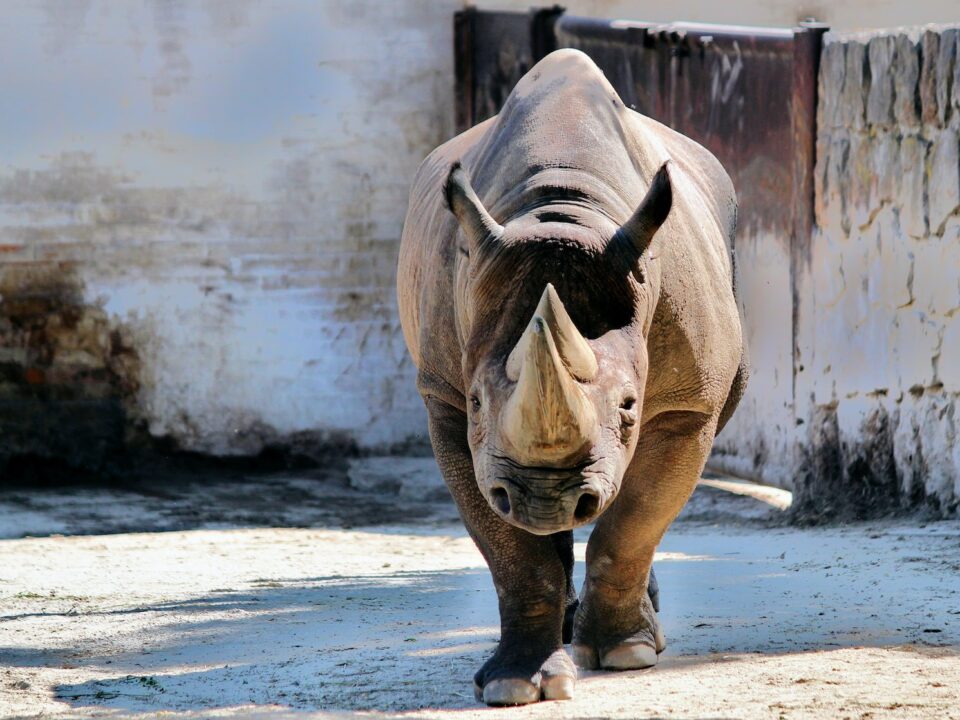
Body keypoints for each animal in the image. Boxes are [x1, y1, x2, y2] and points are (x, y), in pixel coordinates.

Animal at [397, 49, 747, 705]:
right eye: (477, 403)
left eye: (630, 405)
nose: (547, 497)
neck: (562, 213)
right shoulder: (445, 401)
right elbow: (512, 550)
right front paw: (515, 683)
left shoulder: (688, 403)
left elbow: (634, 522)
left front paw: (624, 653)